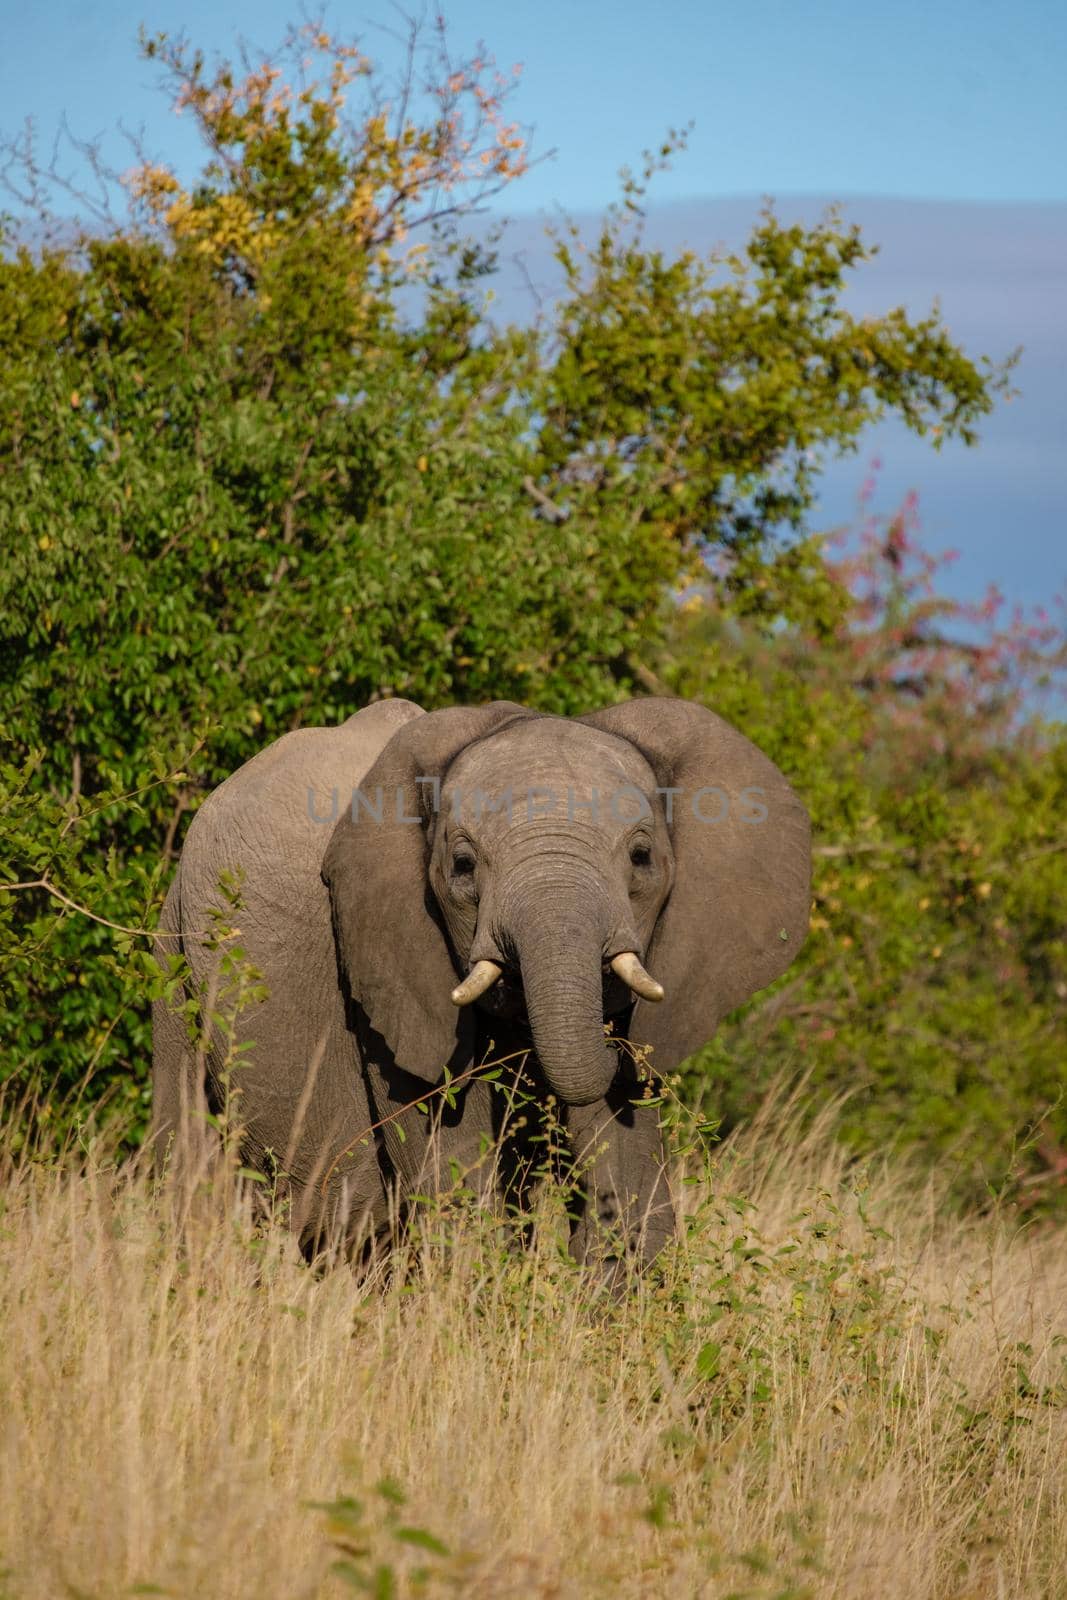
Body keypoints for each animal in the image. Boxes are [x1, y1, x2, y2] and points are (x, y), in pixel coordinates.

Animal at [151, 697, 809, 1273]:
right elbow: (448, 1148)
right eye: (463, 867)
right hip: (174, 949)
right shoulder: (383, 950)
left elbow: (625, 1154)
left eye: (642, 857)